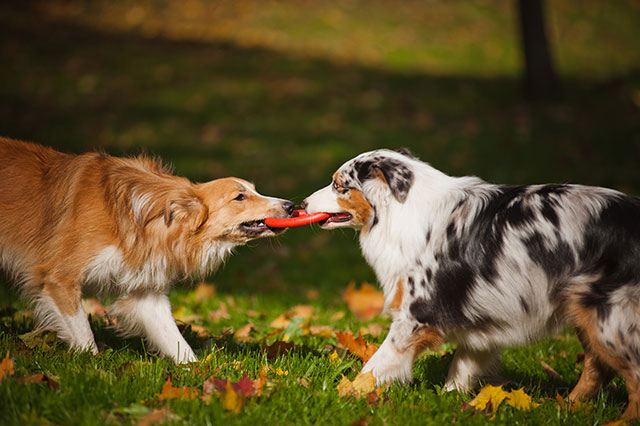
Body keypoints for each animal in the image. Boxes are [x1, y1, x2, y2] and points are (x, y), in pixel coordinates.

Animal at [0, 137, 296, 362]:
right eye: (239, 197)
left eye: (255, 190)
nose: (291, 206)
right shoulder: (59, 278)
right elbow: (83, 333)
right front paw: (92, 367)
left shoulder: (145, 294)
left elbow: (175, 340)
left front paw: (199, 372)